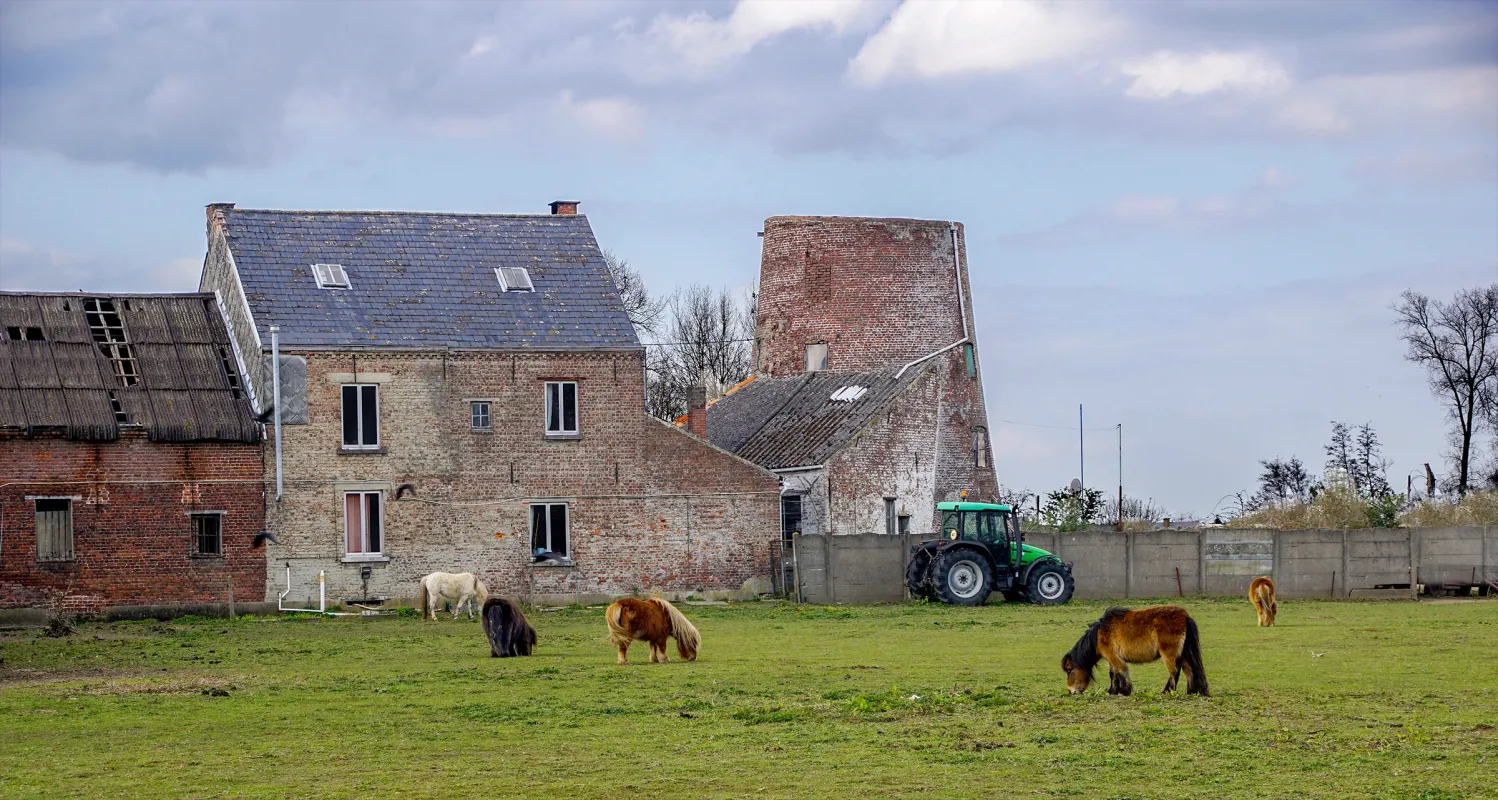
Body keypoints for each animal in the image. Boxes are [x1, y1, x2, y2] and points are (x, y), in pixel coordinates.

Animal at [1060, 608, 1210, 695]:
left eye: (1069, 670)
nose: (1070, 691)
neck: (1099, 634)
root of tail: (1184, 616)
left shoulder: (1113, 656)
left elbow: (1121, 672)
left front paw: (1125, 691)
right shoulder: (1112, 658)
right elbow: (1113, 674)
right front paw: (1113, 691)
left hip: (1169, 654)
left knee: (1174, 671)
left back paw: (1167, 691)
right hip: (1183, 654)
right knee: (1188, 670)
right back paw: (1191, 691)